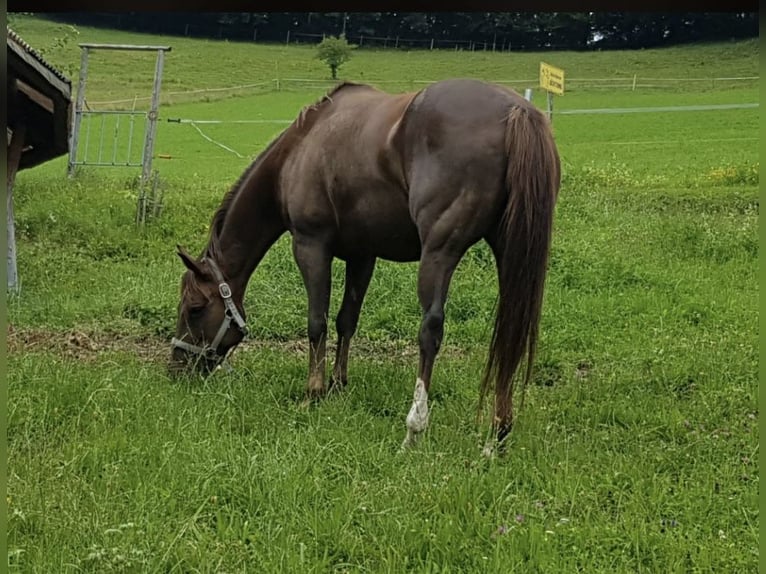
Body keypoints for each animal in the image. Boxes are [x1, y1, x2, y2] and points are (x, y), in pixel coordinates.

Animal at [170, 78, 560, 452]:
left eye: (194, 308)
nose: (176, 367)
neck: (300, 148)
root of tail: (518, 112)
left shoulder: (311, 246)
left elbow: (317, 321)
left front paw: (313, 392)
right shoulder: (362, 256)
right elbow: (347, 320)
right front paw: (337, 385)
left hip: (440, 252)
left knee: (431, 331)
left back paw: (414, 430)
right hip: (511, 255)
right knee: (510, 330)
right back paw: (498, 436)